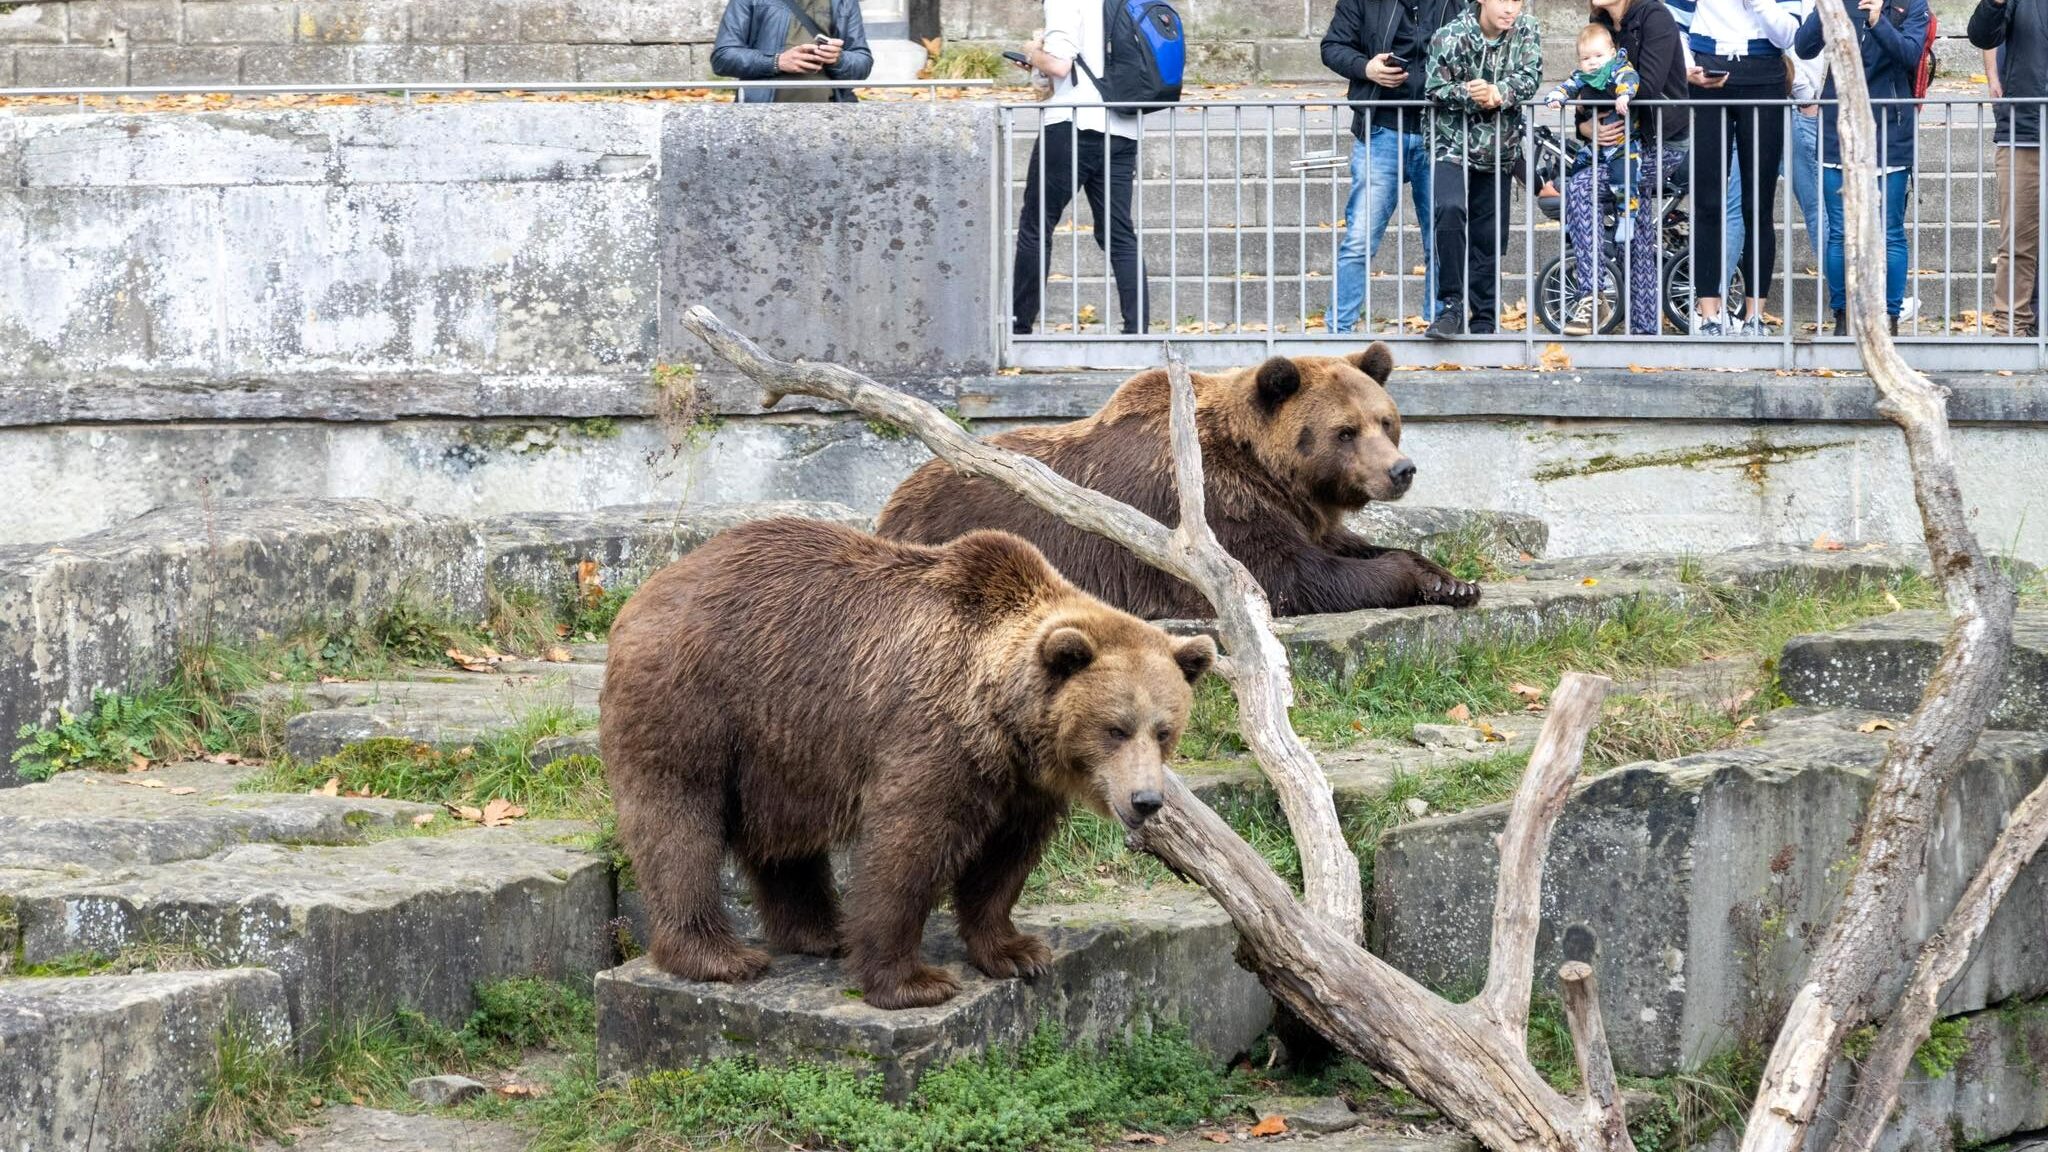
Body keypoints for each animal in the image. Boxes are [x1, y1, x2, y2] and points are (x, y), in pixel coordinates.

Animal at [602, 516, 1212, 1000]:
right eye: (1115, 728)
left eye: (1164, 730)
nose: (1147, 800)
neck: (1003, 720)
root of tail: (645, 591)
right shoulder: (933, 735)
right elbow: (909, 847)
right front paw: (913, 981)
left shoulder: (1022, 783)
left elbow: (1004, 861)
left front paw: (1017, 951)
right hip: (695, 702)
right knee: (679, 823)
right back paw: (719, 955)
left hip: (781, 745)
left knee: (783, 841)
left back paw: (820, 932)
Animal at [872, 342, 1482, 619]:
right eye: (1345, 431)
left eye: (1387, 421)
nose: (1400, 470)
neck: (1269, 473)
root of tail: (893, 499)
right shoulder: (1208, 510)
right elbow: (1292, 576)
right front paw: (1411, 576)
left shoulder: (1303, 513)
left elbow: (1346, 545)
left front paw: (1451, 580)